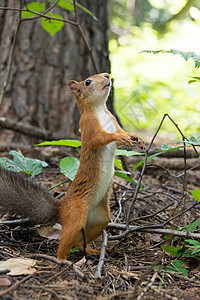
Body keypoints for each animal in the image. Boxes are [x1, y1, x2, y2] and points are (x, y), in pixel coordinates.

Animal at [0, 72, 145, 260]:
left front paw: (135, 137)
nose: (107, 75)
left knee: (78, 240)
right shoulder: (88, 126)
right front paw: (119, 138)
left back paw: (90, 251)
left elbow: (122, 132)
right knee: (64, 242)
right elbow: (100, 138)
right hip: (77, 215)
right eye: (88, 81)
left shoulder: (114, 122)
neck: (100, 109)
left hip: (100, 219)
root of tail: (61, 208)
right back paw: (63, 260)